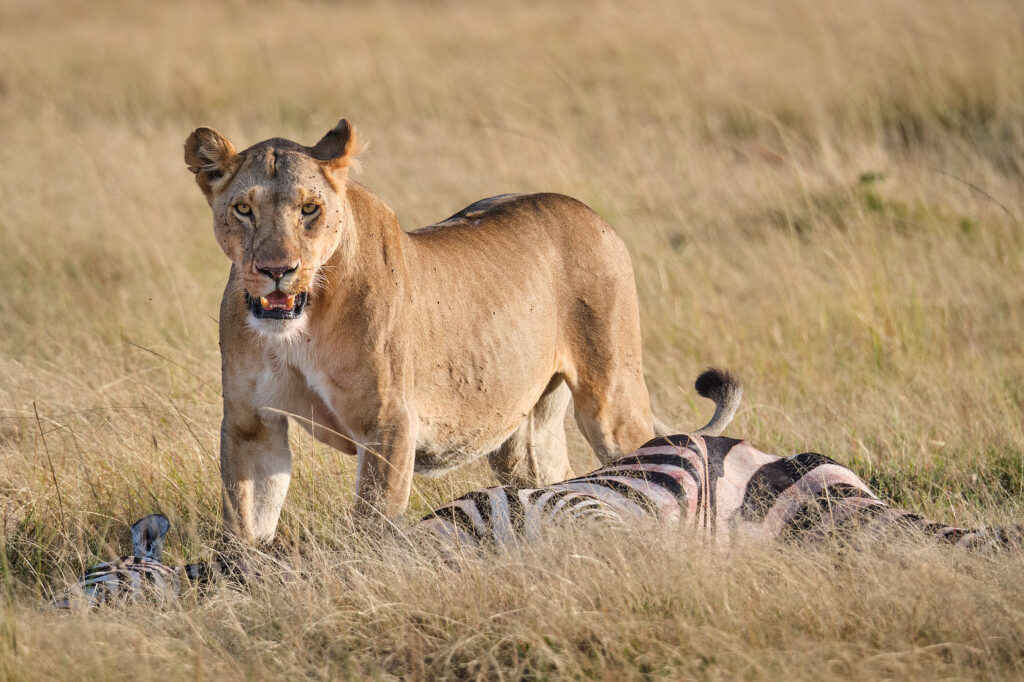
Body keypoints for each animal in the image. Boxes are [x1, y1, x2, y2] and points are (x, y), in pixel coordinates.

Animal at [184, 118, 715, 544]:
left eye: (309, 209)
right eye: (244, 209)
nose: (277, 270)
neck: (300, 326)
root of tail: (590, 212)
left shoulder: (389, 423)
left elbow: (373, 525)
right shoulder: (252, 424)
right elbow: (247, 524)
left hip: (612, 400)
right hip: (524, 438)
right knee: (557, 482)